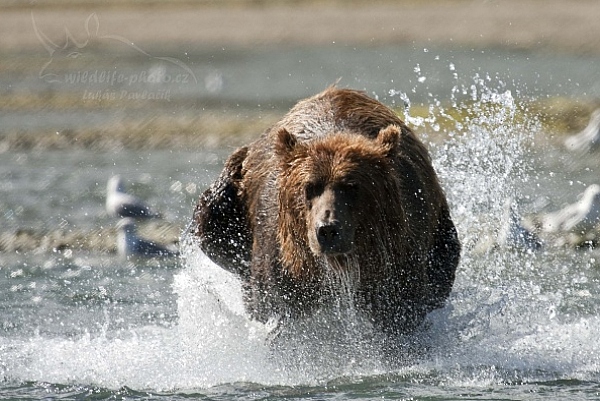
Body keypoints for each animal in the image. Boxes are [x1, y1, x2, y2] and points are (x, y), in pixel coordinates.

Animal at [191, 86, 460, 340]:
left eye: (352, 187)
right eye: (310, 187)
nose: (328, 230)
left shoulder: (399, 254)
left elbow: (402, 313)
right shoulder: (283, 262)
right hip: (229, 197)